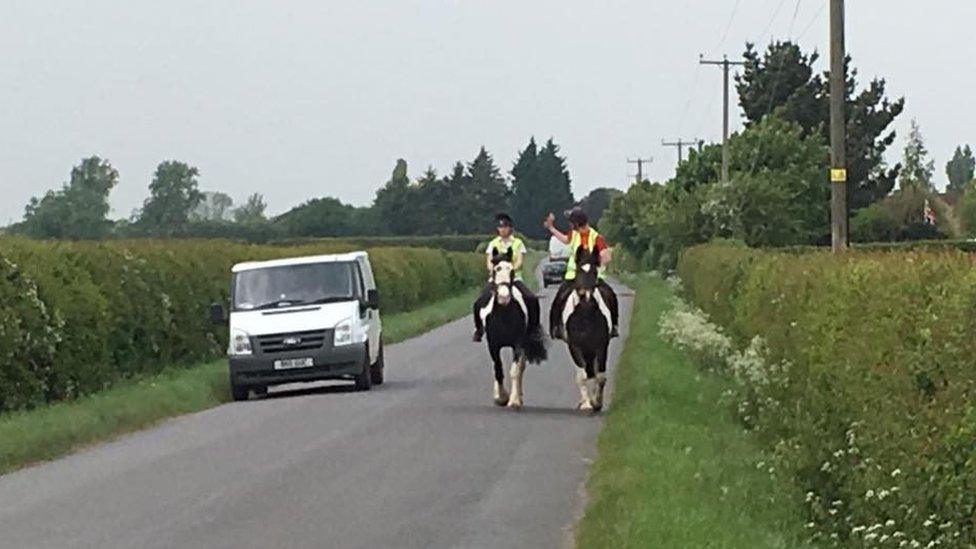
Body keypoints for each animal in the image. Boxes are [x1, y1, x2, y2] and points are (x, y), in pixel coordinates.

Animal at [480, 248, 548, 406]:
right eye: (496, 269)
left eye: (511, 270)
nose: (504, 297)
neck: (504, 315)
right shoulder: (493, 345)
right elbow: (498, 369)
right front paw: (501, 396)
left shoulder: (518, 343)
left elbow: (515, 371)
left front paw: (514, 400)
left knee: (521, 368)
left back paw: (519, 396)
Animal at [556, 247, 608, 412]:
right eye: (579, 270)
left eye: (595, 272)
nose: (587, 297)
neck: (585, 316)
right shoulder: (575, 347)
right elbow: (583, 376)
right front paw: (586, 404)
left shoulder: (601, 346)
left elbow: (600, 376)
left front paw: (596, 403)